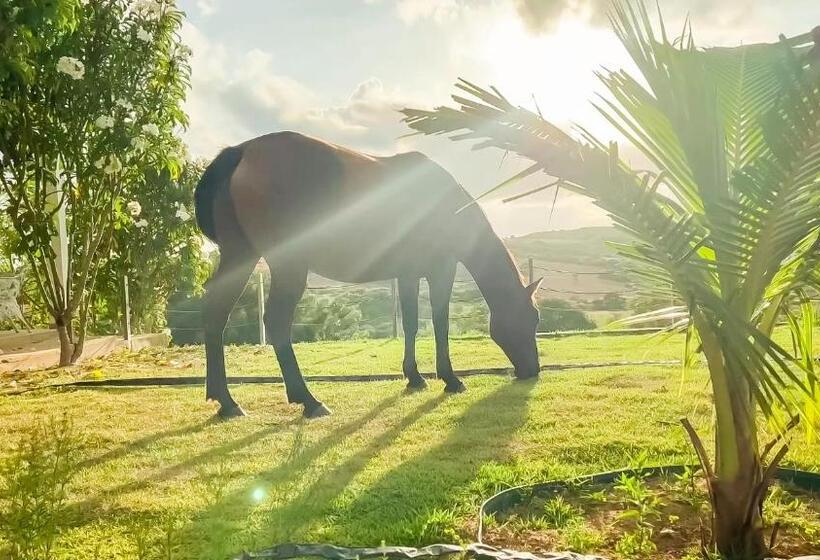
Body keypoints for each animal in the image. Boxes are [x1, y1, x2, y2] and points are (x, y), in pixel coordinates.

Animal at [194, 131, 542, 419]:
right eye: (532, 318)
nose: (533, 370)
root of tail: (242, 151)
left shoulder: (408, 274)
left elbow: (411, 323)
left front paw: (414, 377)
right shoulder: (441, 269)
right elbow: (439, 322)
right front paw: (450, 378)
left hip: (240, 256)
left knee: (215, 314)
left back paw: (227, 402)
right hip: (288, 265)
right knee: (277, 321)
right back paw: (308, 400)